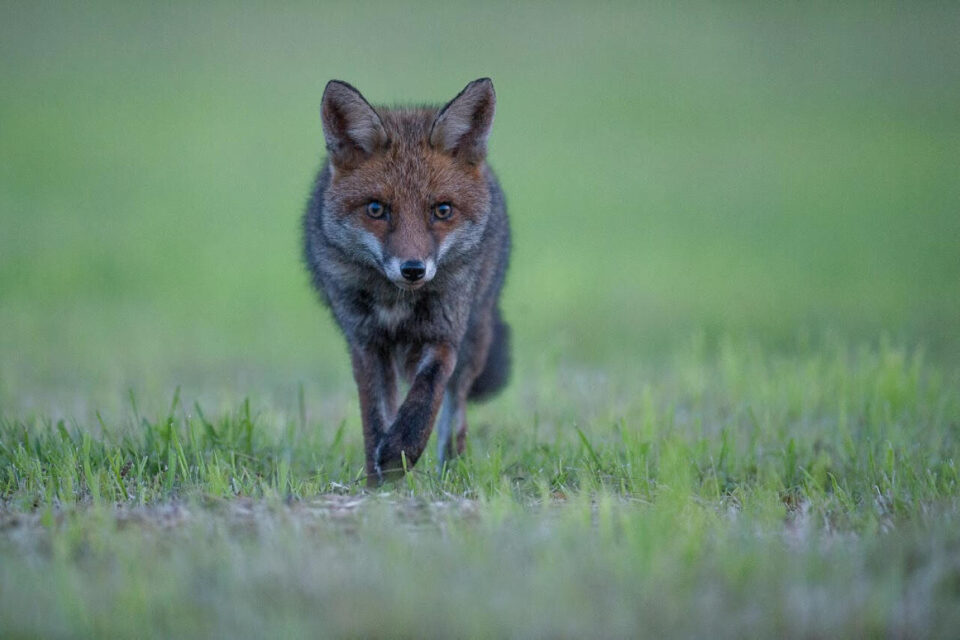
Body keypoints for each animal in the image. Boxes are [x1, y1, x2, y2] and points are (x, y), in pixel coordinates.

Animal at [302, 77, 510, 484]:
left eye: (442, 210)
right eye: (376, 209)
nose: (413, 269)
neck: (396, 301)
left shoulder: (444, 335)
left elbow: (426, 398)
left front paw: (400, 452)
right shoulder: (366, 344)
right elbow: (375, 419)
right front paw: (377, 482)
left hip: (474, 340)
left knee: (455, 411)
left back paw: (451, 467)